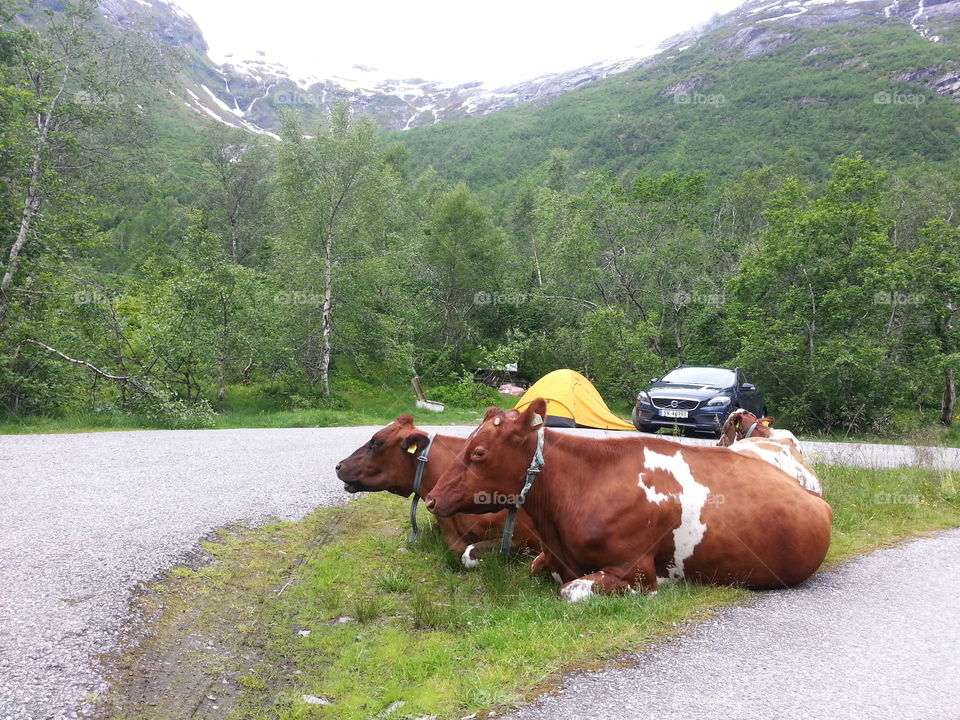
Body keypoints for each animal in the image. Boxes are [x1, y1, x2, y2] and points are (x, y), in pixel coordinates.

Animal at [428, 400, 832, 600]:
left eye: (479, 452)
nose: (430, 500)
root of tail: (813, 494)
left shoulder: (637, 572)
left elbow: (569, 590)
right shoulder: (548, 554)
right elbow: (533, 567)